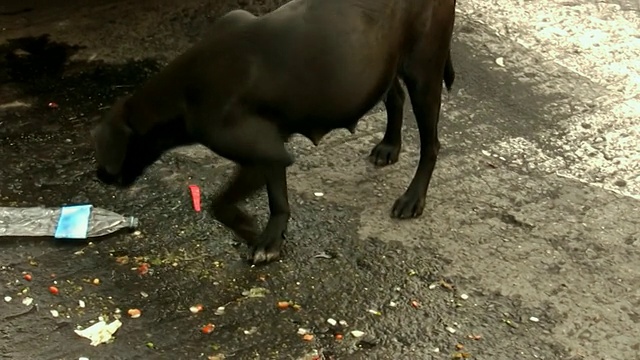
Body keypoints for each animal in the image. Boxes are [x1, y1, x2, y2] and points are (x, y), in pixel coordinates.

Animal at [92, 0, 458, 264]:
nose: (98, 176)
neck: (184, 90)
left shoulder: (260, 154)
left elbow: (219, 204)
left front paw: (249, 230)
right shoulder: (271, 151)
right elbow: (277, 198)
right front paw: (272, 237)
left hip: (424, 72)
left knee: (431, 145)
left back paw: (413, 198)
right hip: (382, 65)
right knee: (394, 96)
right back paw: (389, 145)